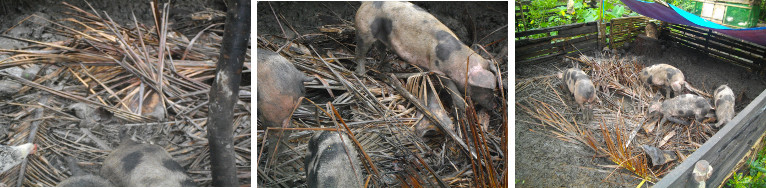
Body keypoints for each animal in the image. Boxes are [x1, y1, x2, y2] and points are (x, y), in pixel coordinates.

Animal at [354, 1, 498, 110]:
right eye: (483, 89)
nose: (494, 107)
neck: (459, 60)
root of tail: (366, 2)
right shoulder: (438, 68)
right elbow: (451, 87)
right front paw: (463, 107)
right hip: (365, 29)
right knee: (360, 51)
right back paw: (361, 74)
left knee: (380, 47)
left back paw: (387, 68)